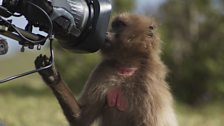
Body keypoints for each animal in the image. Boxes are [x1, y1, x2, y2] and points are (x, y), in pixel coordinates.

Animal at [35, 13, 178, 126]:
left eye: (120, 25)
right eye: (113, 25)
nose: (107, 33)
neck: (126, 67)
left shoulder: (149, 81)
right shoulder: (103, 70)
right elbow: (81, 119)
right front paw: (51, 74)